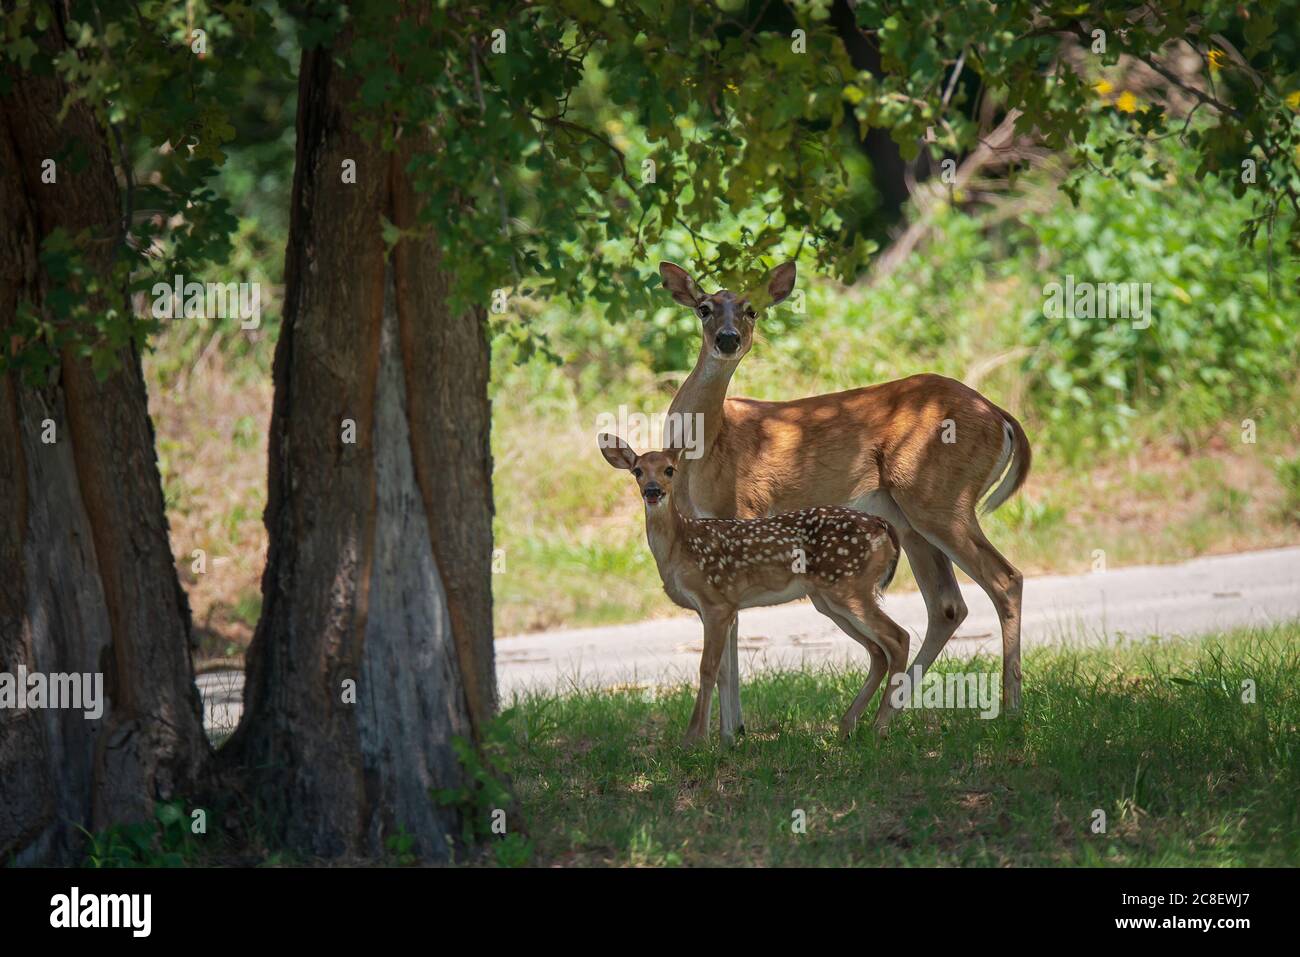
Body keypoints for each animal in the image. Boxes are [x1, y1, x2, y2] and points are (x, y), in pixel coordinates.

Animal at [595, 434, 904, 738]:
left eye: (669, 469)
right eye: (637, 471)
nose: (652, 490)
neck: (680, 546)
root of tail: (884, 526)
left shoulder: (716, 602)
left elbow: (707, 668)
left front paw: (696, 738)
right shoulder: (718, 609)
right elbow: (724, 671)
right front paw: (725, 738)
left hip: (850, 586)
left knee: (898, 638)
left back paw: (880, 727)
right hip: (828, 598)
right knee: (878, 651)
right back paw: (848, 725)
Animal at [660, 260, 1034, 738]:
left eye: (751, 310)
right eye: (704, 308)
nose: (728, 339)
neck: (705, 448)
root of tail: (1002, 417)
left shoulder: (744, 512)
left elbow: (732, 626)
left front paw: (728, 732)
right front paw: (734, 730)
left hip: (940, 497)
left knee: (1005, 578)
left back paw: (1011, 708)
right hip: (909, 518)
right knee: (947, 605)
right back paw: (877, 719)